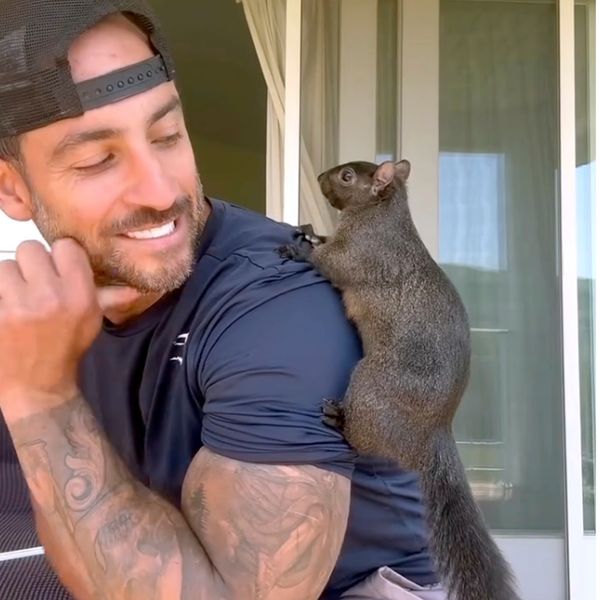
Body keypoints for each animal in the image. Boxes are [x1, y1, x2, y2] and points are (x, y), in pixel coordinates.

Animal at [282, 159, 520, 600]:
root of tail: (432, 433)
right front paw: (308, 228)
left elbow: (330, 262)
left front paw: (299, 246)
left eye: (347, 177)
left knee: (361, 441)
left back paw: (338, 419)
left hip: (369, 387)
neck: (380, 215)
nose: (321, 176)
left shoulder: (361, 254)